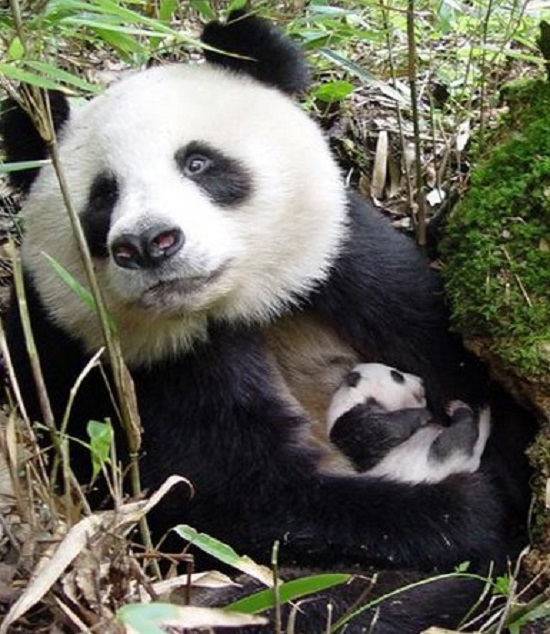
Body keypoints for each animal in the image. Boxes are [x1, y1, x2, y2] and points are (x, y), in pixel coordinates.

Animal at [0, 9, 540, 632]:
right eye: (103, 197)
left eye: (198, 163)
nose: (149, 242)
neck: (236, 304)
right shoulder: (136, 371)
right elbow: (248, 502)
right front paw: (463, 511)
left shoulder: (348, 268)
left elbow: (463, 363)